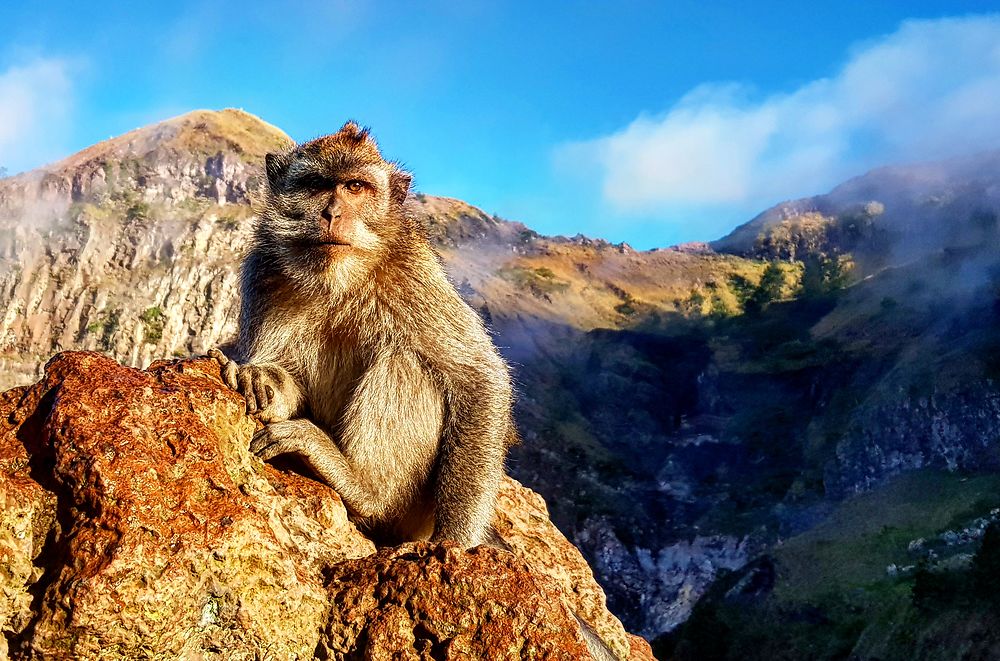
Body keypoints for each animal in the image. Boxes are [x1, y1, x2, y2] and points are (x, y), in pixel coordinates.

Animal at [210, 121, 516, 548]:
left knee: (404, 360)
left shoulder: (414, 274)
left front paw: (455, 541)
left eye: (356, 187)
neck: (340, 279)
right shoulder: (263, 273)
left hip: (414, 507)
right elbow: (285, 371)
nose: (332, 213)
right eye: (316, 184)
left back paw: (361, 488)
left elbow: (478, 379)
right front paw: (262, 381)